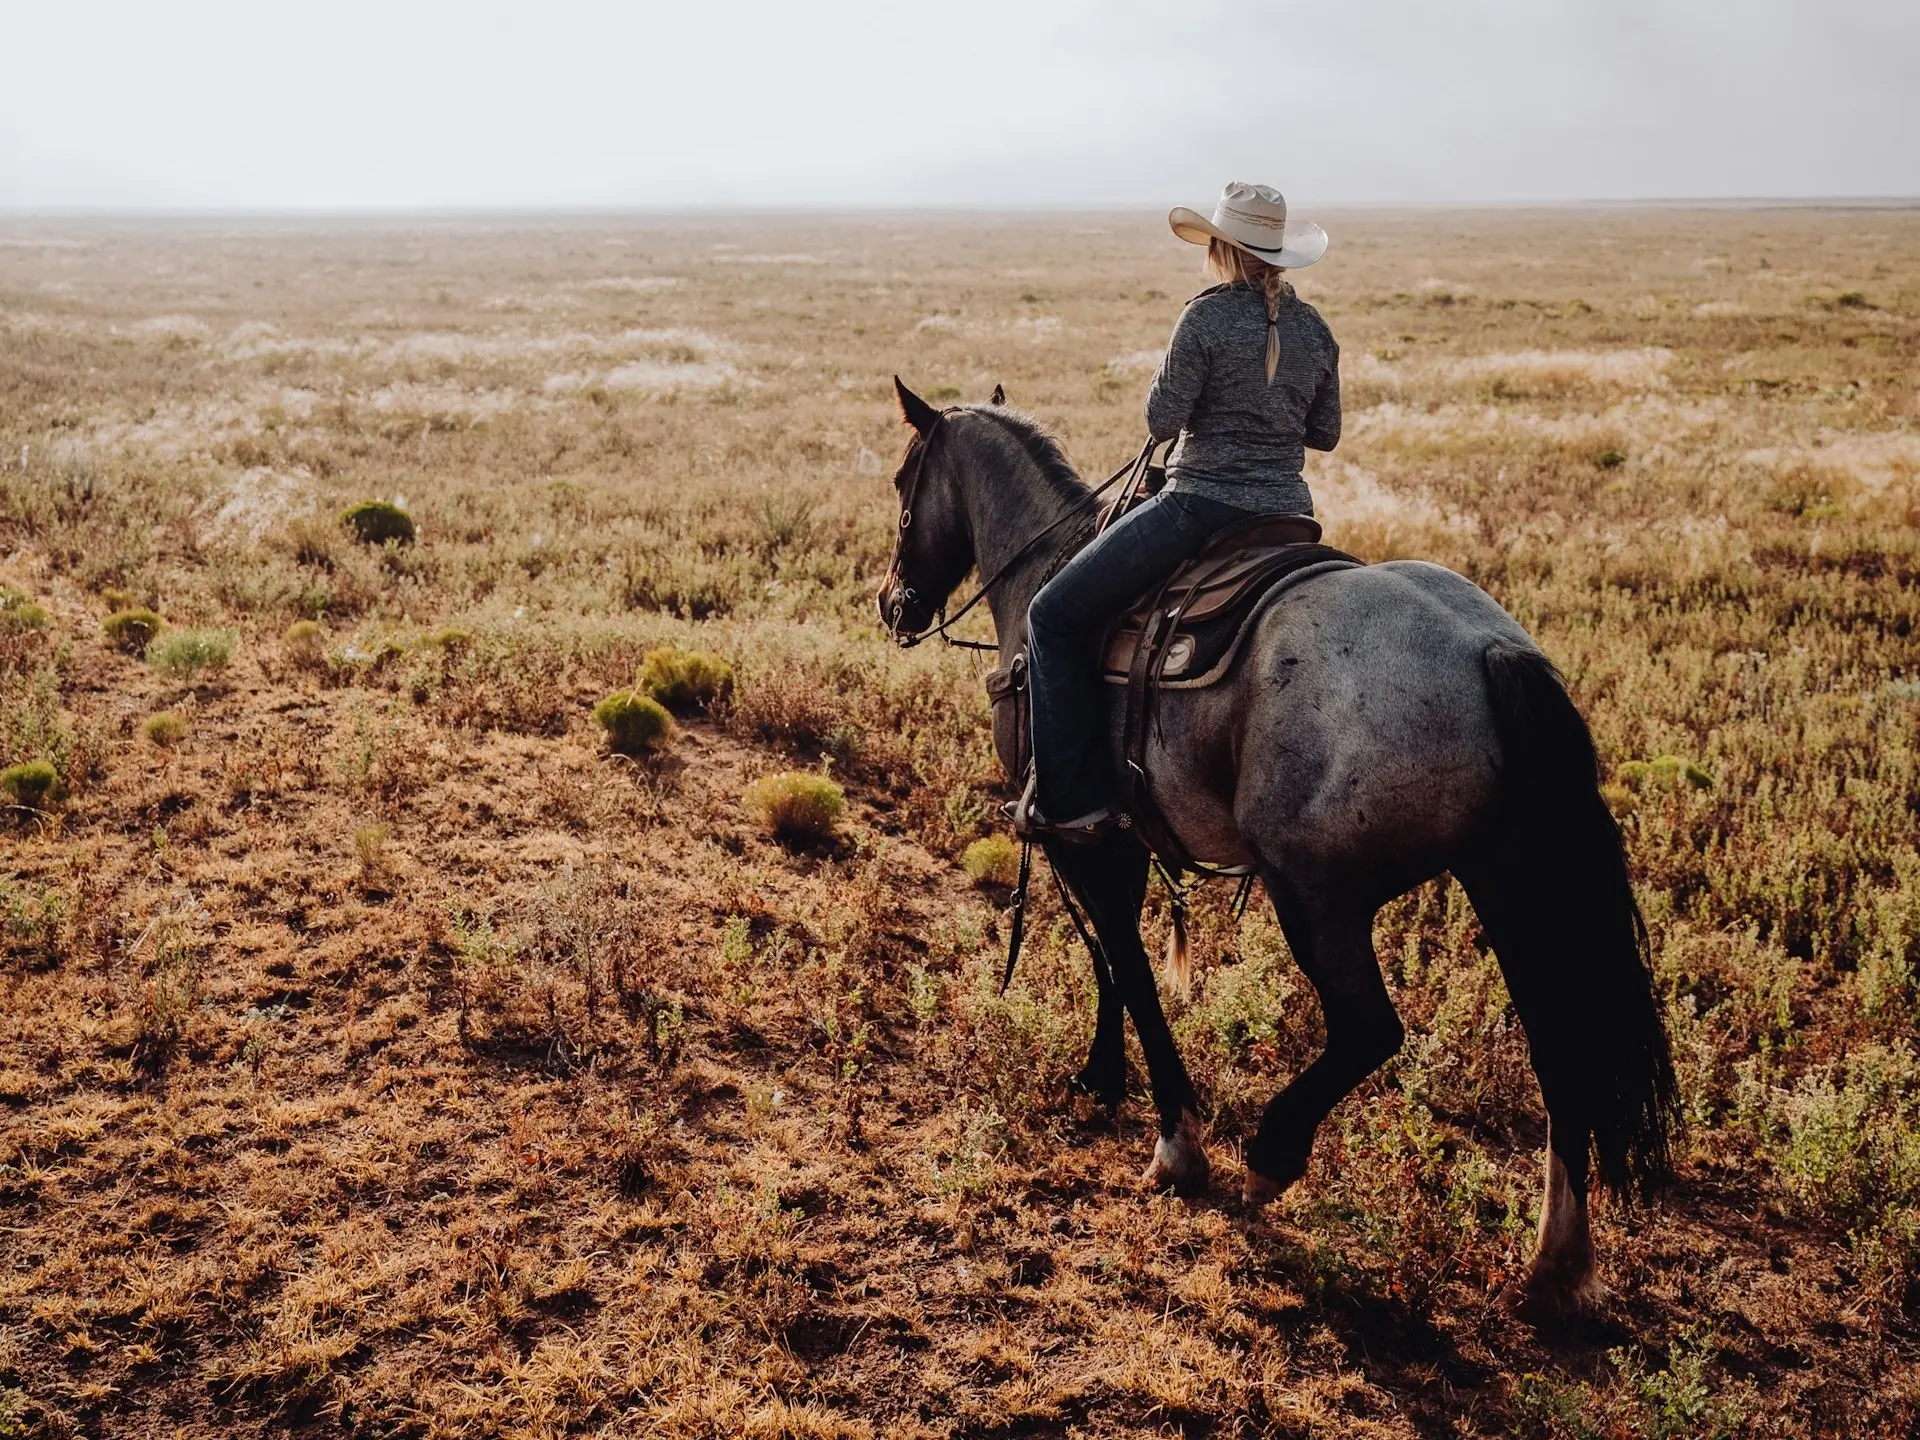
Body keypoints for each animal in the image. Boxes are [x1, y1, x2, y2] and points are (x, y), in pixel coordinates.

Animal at [879, 378, 1674, 1328]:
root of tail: (1490, 654)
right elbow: (1112, 958)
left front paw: (1173, 1139)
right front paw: (1104, 1079)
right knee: (1561, 1050)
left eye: (902, 483)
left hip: (1318, 898)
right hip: (1510, 883)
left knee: (1370, 1028)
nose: (893, 604)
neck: (1042, 569)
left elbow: (1124, 962)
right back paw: (1557, 1261)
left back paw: (1271, 1155)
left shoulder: (1077, 832)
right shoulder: (1117, 835)